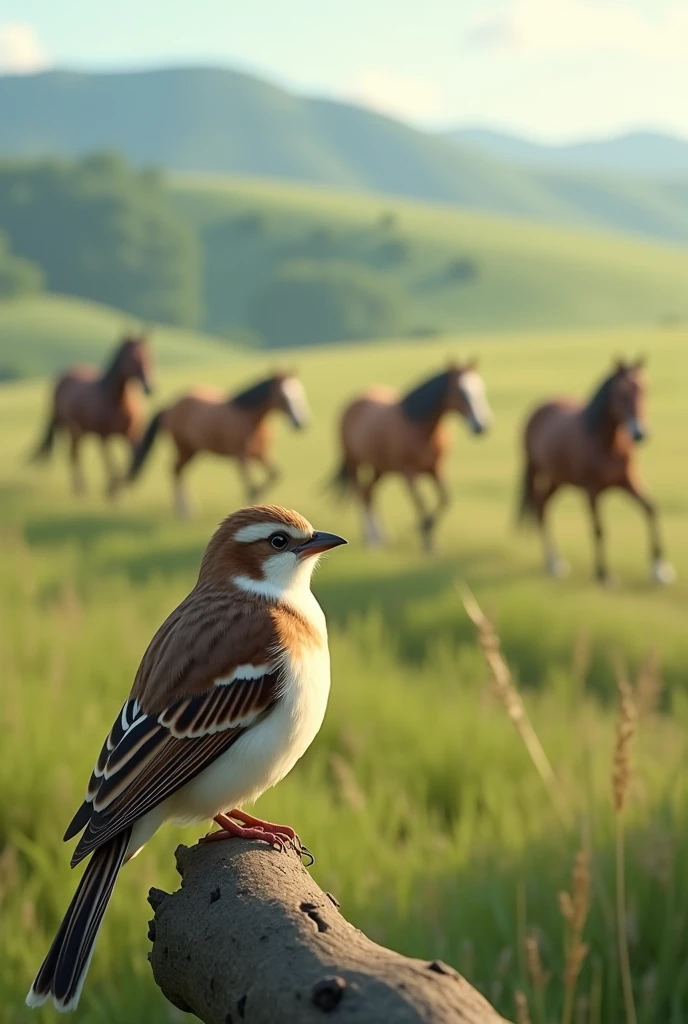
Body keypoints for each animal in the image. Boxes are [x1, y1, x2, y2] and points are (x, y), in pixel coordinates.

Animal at [31, 333, 153, 497]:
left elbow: (129, 459)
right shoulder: (104, 438)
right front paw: (112, 489)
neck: (119, 401)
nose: (149, 387)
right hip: (74, 430)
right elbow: (111, 463)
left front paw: (119, 487)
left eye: (150, 356)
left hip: (82, 431)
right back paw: (80, 488)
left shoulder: (132, 435)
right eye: (133, 358)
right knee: (74, 455)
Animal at [127, 372, 311, 516]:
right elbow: (250, 486)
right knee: (175, 470)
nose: (300, 423)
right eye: (283, 396)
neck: (251, 418)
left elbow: (275, 474)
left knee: (179, 471)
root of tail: (170, 407)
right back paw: (184, 509)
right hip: (184, 449)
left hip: (194, 451)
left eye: (300, 392)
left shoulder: (260, 454)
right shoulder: (242, 457)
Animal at [331, 362, 489, 552]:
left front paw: (429, 533)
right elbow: (420, 502)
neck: (421, 428)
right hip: (353, 461)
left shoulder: (436, 468)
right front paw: (426, 536)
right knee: (359, 492)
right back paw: (370, 537)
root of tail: (353, 402)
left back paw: (381, 534)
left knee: (368, 492)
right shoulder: (409, 473)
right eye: (461, 391)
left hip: (380, 468)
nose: (481, 426)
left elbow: (445, 498)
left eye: (481, 388)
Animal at [522, 358, 671, 585]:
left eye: (645, 389)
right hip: (535, 468)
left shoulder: (628, 481)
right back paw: (552, 562)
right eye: (621, 393)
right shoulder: (592, 491)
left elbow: (651, 509)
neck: (608, 444)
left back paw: (554, 561)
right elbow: (599, 529)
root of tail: (541, 406)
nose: (639, 433)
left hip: (559, 478)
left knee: (542, 504)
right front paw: (603, 574)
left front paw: (659, 569)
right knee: (539, 505)